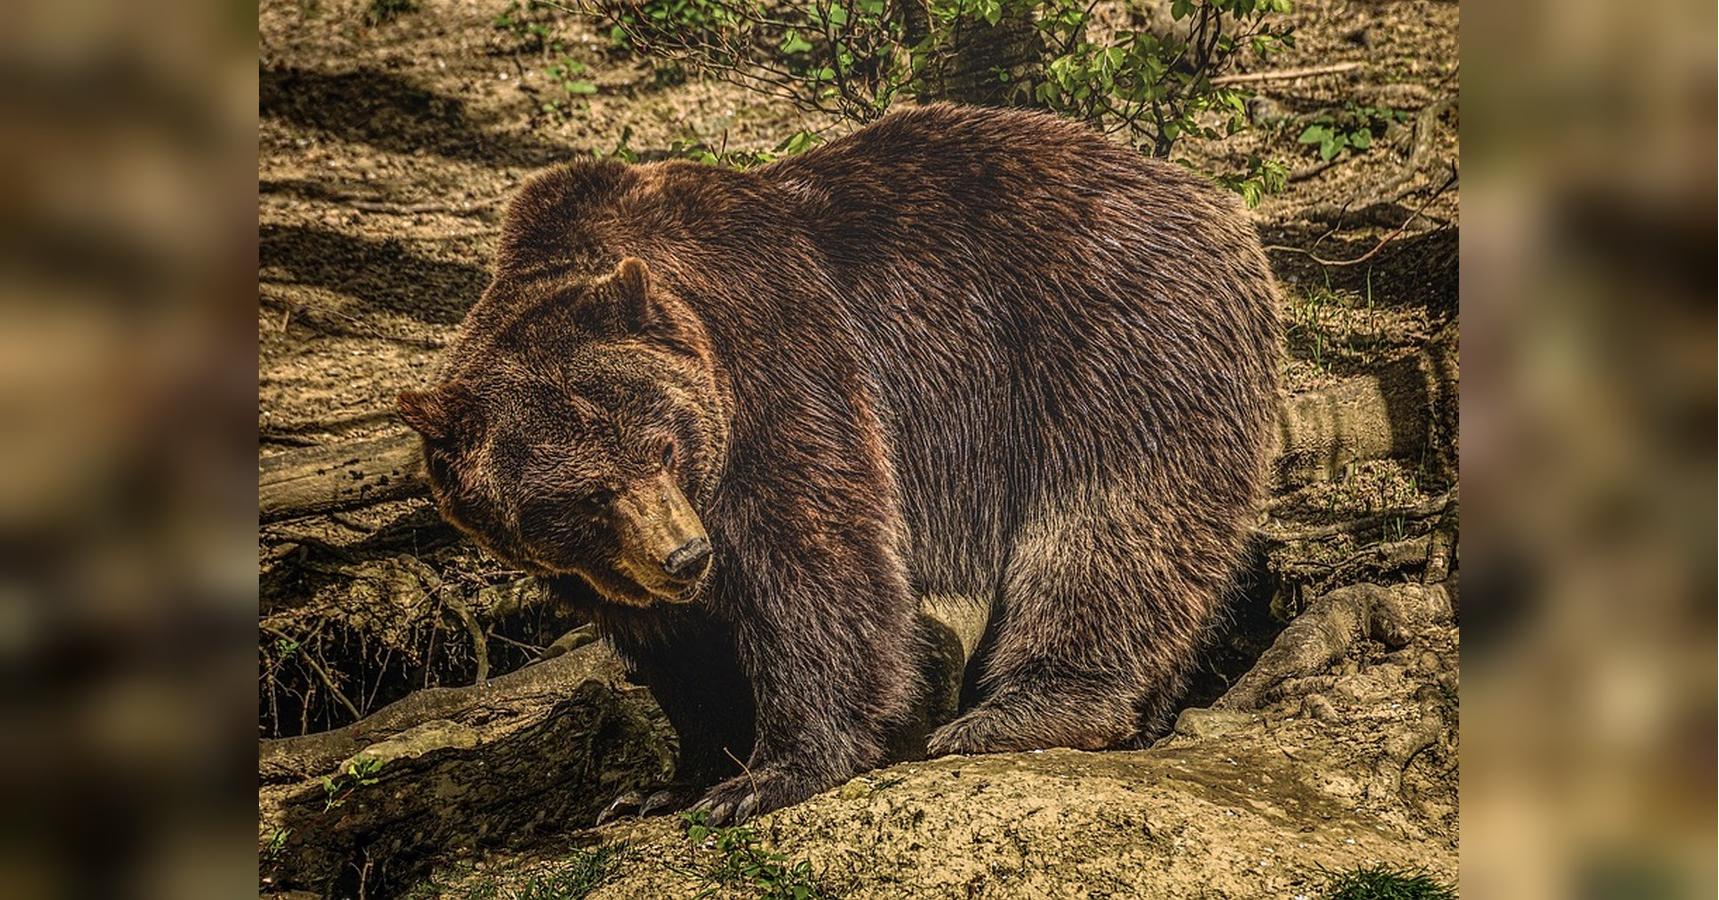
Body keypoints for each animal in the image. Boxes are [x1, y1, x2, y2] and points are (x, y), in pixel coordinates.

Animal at [398, 103, 1278, 820]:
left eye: (662, 445)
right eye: (580, 495)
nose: (685, 556)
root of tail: (1216, 201)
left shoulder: (778, 367)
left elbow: (814, 566)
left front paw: (769, 774)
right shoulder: (605, 565)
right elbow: (680, 649)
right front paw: (665, 782)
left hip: (1112, 342)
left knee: (1107, 526)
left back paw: (1016, 713)